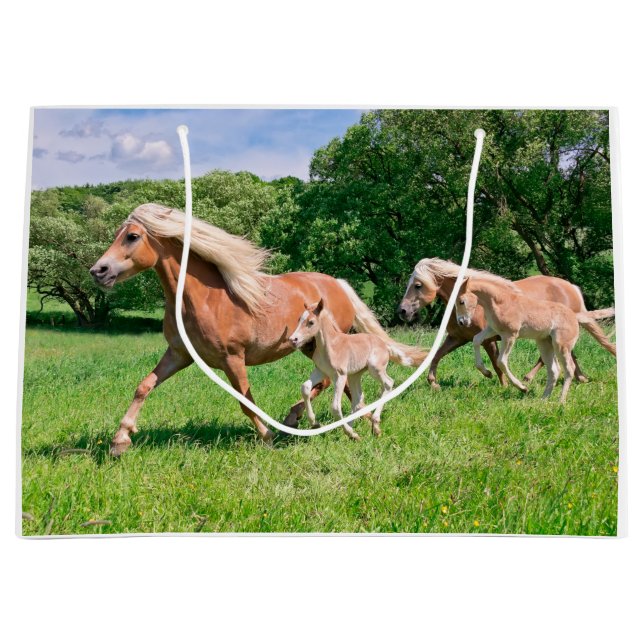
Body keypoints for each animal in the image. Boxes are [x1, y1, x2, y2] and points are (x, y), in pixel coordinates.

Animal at [288, 299, 394, 440]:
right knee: (358, 398)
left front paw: (350, 433)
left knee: (388, 383)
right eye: (299, 319)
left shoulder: (340, 376)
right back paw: (356, 428)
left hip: (375, 369)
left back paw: (375, 425)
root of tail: (383, 344)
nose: (293, 340)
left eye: (311, 322)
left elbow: (335, 407)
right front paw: (314, 423)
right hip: (355, 375)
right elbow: (305, 388)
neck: (330, 346)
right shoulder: (321, 371)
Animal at [397, 258, 616, 389]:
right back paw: (580, 377)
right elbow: (436, 355)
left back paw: (530, 378)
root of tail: (571, 287)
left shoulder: (490, 339)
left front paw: (501, 382)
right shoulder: (457, 338)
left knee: (551, 356)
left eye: (418, 285)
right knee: (566, 354)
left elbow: (496, 363)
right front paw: (433, 383)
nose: (402, 311)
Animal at [453, 275, 615, 402]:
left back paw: (561, 401)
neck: (501, 302)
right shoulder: (492, 330)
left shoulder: (510, 335)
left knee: (569, 368)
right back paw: (543, 399)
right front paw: (486, 372)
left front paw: (522, 387)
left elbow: (501, 361)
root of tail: (575, 315)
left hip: (561, 345)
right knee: (554, 370)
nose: (461, 322)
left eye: (461, 301)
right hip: (545, 344)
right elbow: (476, 340)